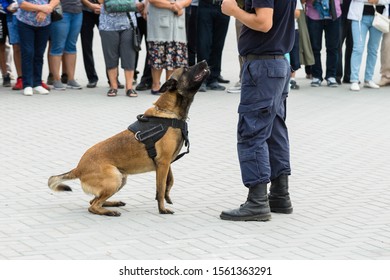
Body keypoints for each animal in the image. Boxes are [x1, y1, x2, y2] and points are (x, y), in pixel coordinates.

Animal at [48, 61, 210, 217]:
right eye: (186, 69)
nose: (204, 61)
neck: (169, 114)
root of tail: (79, 168)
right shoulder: (163, 163)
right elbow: (160, 188)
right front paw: (162, 209)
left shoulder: (166, 163)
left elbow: (169, 182)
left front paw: (167, 197)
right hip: (115, 178)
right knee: (93, 206)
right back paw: (109, 212)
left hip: (121, 178)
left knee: (93, 201)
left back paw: (112, 204)